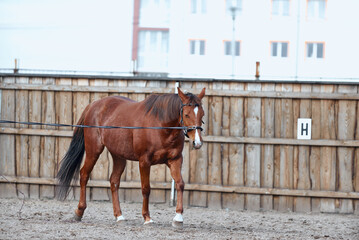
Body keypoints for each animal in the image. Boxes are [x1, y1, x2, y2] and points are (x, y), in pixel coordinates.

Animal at [55, 87, 205, 226]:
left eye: (202, 115)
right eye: (186, 114)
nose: (197, 143)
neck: (160, 125)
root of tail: (94, 105)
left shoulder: (175, 160)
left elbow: (180, 184)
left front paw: (178, 218)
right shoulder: (144, 161)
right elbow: (146, 189)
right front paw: (147, 218)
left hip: (118, 156)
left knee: (114, 181)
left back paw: (119, 216)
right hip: (94, 151)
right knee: (84, 175)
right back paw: (79, 212)